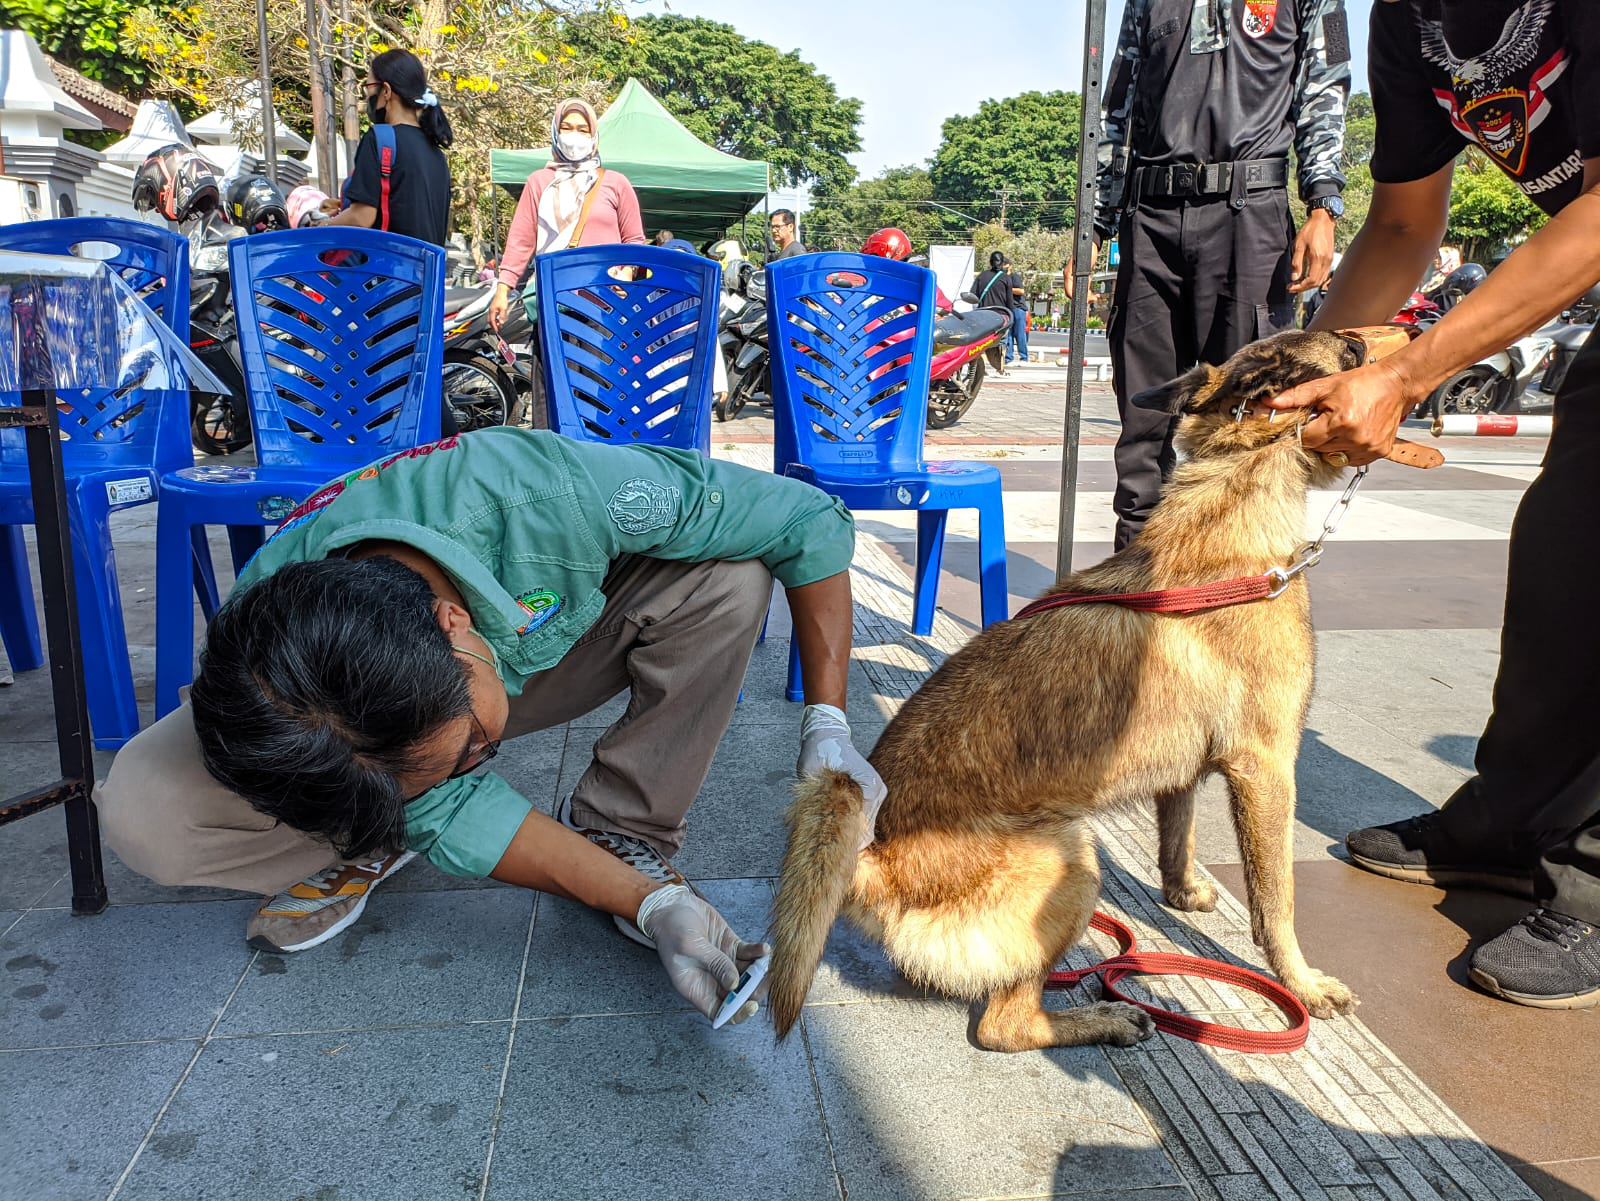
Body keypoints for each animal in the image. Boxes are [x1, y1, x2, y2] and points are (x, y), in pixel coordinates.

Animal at [768, 329, 1382, 1049]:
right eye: (1344, 350)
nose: (1369, 337)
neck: (1233, 493)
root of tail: (875, 862)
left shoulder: (1192, 772)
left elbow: (1179, 834)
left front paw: (1181, 892)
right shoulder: (1266, 769)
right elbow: (1276, 898)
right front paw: (1303, 984)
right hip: (1073, 856)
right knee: (1003, 1026)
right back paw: (1104, 1017)